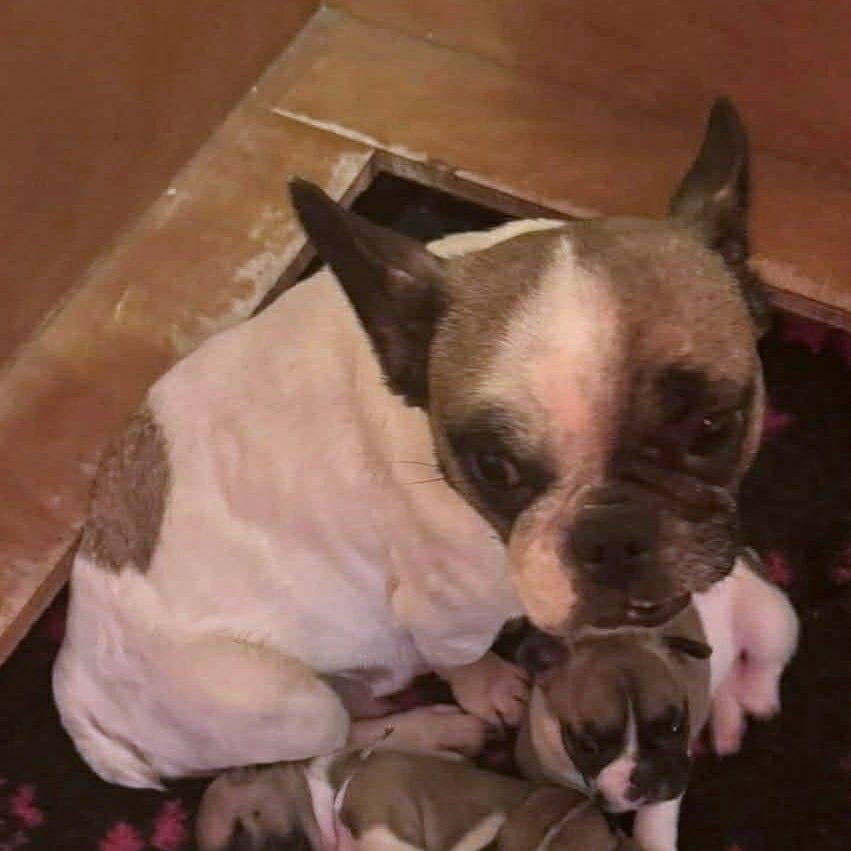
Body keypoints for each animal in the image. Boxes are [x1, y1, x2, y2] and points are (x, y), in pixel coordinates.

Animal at [53, 97, 770, 788]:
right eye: (494, 467)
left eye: (713, 427)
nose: (612, 534)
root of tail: (77, 685)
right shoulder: (443, 612)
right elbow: (462, 656)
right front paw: (489, 687)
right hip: (281, 699)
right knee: (327, 744)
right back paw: (431, 729)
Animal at [514, 550, 799, 851]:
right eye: (588, 746)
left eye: (675, 727)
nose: (646, 773)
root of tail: (744, 555)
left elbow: (653, 823)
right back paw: (727, 731)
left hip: (767, 621)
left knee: (768, 659)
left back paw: (759, 695)